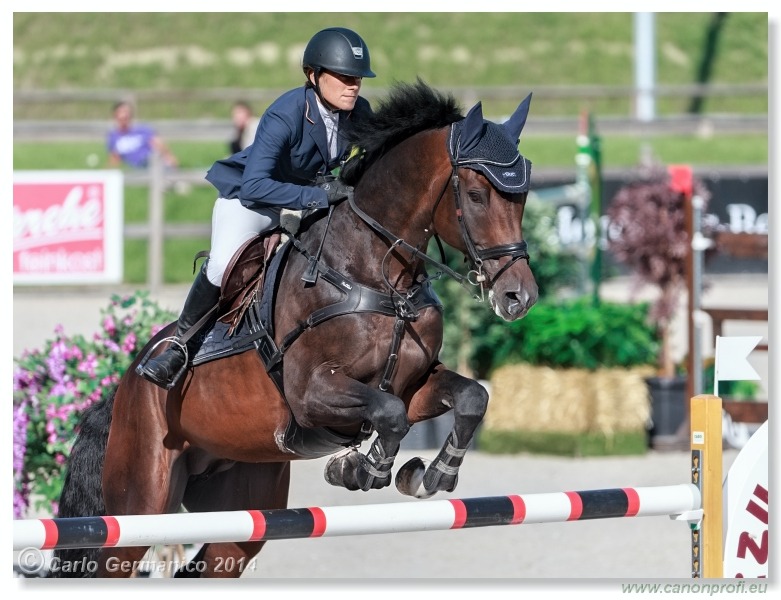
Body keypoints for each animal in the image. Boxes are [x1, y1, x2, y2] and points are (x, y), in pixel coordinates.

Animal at [53, 79, 536, 576]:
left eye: (523, 196)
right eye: (476, 195)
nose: (519, 297)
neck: (377, 275)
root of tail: (124, 386)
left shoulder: (413, 384)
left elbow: (470, 397)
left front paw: (433, 474)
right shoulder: (311, 394)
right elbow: (389, 414)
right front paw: (363, 469)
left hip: (239, 506)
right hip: (141, 501)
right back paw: (169, 359)